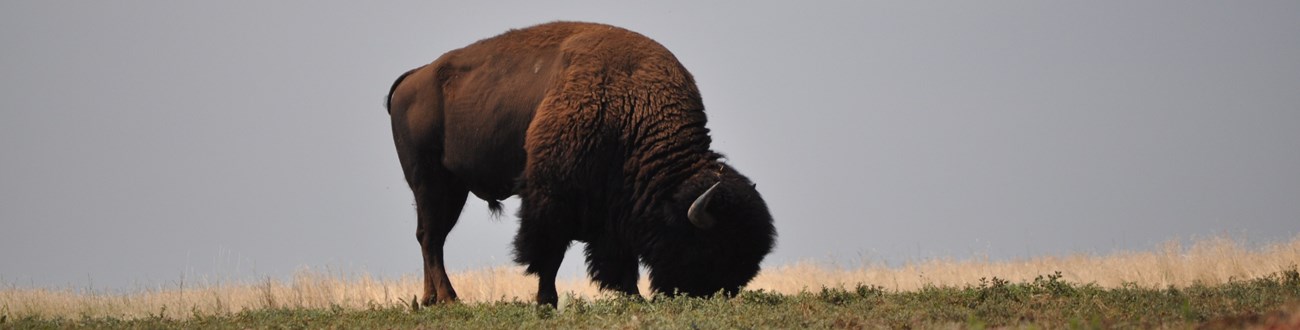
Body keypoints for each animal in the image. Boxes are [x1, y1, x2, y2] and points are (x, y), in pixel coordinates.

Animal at [382, 21, 769, 306]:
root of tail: (414, 77)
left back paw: (431, 299)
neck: (632, 110)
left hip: (449, 188)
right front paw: (547, 302)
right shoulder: (551, 199)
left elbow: (618, 260)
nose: (718, 293)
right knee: (431, 238)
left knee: (430, 238)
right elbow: (549, 254)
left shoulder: (614, 212)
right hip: (432, 183)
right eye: (713, 247)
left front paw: (632, 297)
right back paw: (449, 299)